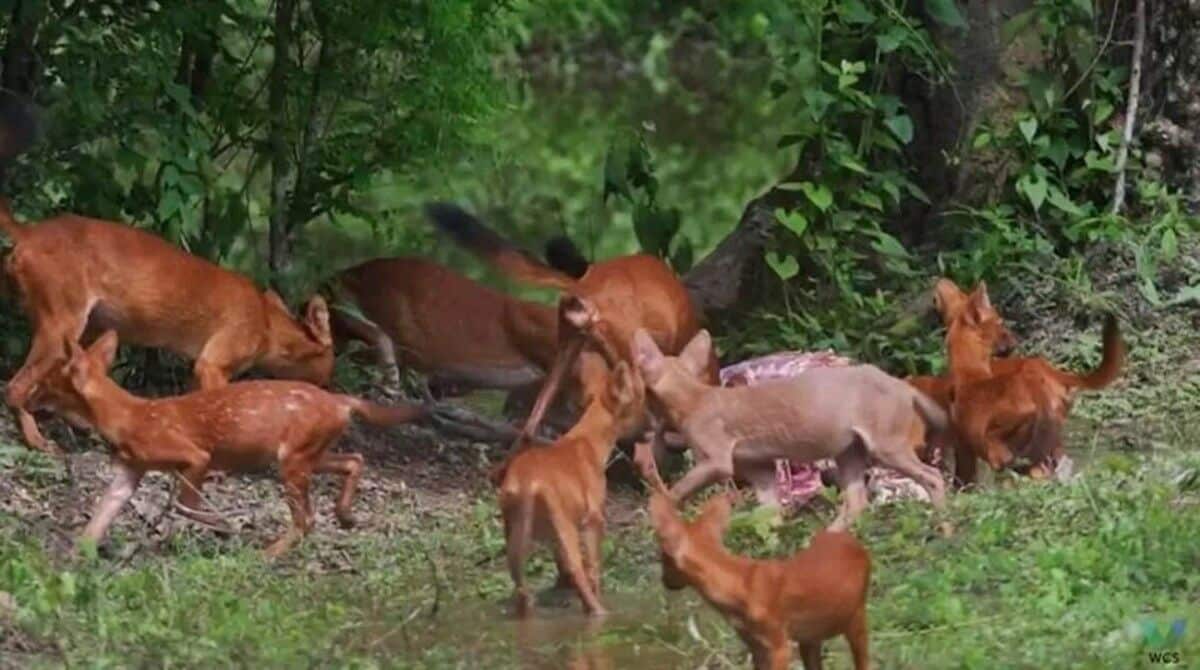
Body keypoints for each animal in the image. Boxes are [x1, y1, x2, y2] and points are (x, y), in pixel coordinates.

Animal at [1, 199, 333, 451]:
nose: (325, 394)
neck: (267, 322)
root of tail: (31, 231)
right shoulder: (212, 365)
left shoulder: (198, 371)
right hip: (63, 328)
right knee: (14, 388)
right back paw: (36, 439)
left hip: (87, 333)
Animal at [46, 331, 427, 557]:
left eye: (52, 377)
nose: (30, 390)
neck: (127, 416)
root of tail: (340, 402)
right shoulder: (131, 467)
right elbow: (102, 514)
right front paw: (75, 554)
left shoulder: (194, 455)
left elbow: (187, 506)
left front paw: (224, 526)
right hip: (308, 452)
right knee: (354, 460)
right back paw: (345, 516)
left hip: (293, 458)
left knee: (307, 518)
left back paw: (268, 553)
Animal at [496, 357, 648, 619]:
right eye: (640, 401)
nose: (654, 425)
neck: (591, 441)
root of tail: (525, 483)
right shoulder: (593, 517)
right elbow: (594, 568)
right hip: (563, 521)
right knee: (577, 569)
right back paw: (599, 612)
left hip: (515, 530)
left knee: (522, 588)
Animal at [638, 441, 873, 670]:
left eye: (663, 556)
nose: (665, 580)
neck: (738, 586)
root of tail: (854, 544)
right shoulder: (755, 642)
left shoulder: (778, 641)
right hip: (812, 636)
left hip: (855, 616)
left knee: (863, 660)